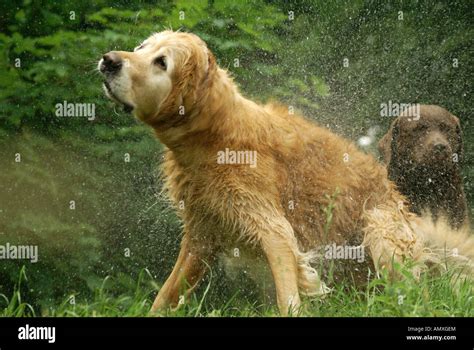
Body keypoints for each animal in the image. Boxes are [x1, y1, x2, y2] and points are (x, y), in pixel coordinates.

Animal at [98, 31, 472, 316]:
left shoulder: (272, 227)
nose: (109, 60)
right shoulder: (201, 235)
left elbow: (287, 287)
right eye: (141, 47)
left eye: (162, 62)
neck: (215, 134)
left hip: (380, 227)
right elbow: (167, 293)